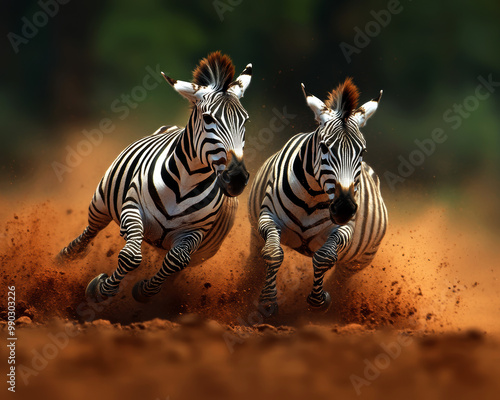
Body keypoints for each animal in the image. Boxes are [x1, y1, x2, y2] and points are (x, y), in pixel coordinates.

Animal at [58, 52, 252, 304]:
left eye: (245, 121)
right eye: (208, 118)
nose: (236, 178)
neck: (187, 183)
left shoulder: (194, 232)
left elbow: (176, 261)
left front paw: (143, 290)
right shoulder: (133, 208)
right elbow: (130, 256)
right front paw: (100, 289)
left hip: (198, 250)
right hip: (101, 204)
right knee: (89, 232)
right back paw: (64, 259)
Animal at [248, 77, 388, 316]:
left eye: (362, 152)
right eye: (324, 147)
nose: (344, 208)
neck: (312, 197)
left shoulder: (344, 228)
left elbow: (324, 257)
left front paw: (320, 301)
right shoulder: (268, 217)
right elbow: (273, 253)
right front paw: (267, 302)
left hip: (359, 260)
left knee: (342, 277)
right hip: (255, 233)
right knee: (256, 258)